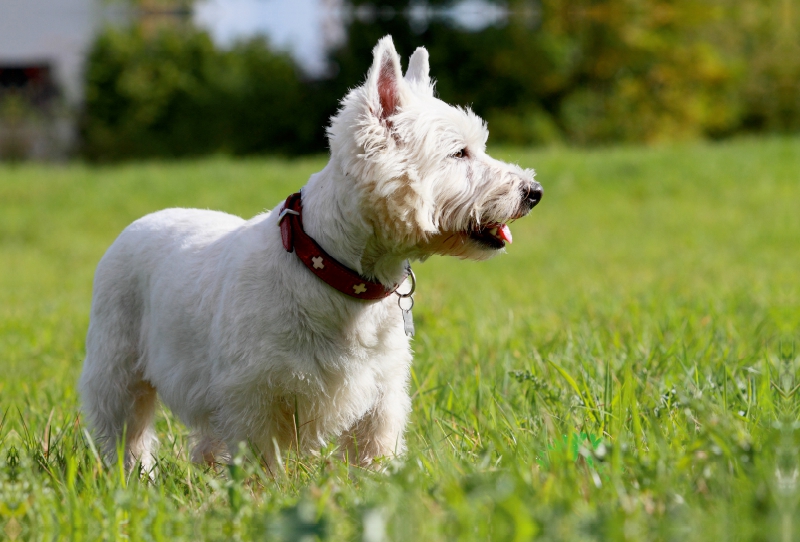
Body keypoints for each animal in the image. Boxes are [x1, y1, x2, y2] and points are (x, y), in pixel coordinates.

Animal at [81, 36, 540, 474]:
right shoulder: (251, 395)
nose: (534, 192)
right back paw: (132, 478)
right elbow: (260, 464)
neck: (338, 272)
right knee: (126, 431)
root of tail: (140, 222)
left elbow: (374, 453)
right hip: (118, 368)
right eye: (458, 152)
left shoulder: (381, 394)